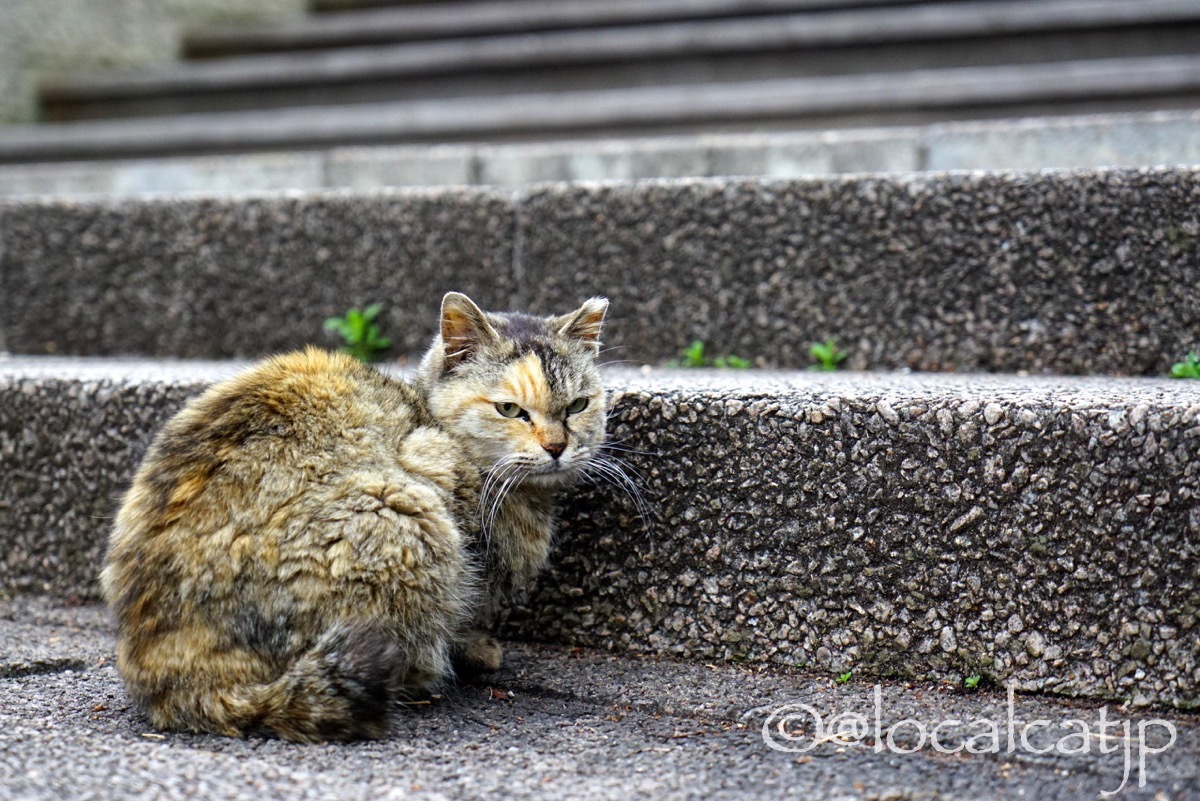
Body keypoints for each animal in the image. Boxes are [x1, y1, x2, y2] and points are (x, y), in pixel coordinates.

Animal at [100, 293, 609, 743]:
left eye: (578, 405)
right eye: (510, 409)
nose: (557, 446)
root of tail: (168, 676)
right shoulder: (432, 464)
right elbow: (465, 609)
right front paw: (476, 647)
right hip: (404, 514)